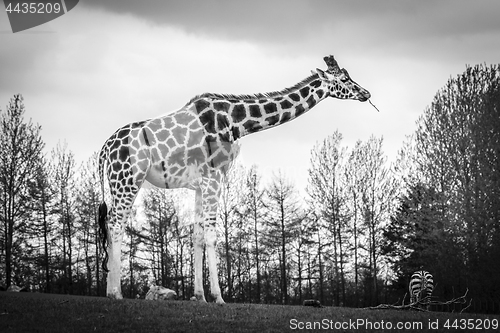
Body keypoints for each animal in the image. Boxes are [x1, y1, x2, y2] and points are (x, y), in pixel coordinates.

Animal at [97, 53, 372, 300]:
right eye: (345, 79)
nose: (366, 94)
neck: (236, 123)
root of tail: (105, 149)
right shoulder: (213, 177)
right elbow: (211, 234)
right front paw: (218, 297)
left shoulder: (200, 184)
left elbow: (197, 235)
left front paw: (200, 296)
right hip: (128, 178)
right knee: (116, 223)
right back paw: (115, 293)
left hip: (117, 180)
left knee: (110, 222)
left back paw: (111, 290)